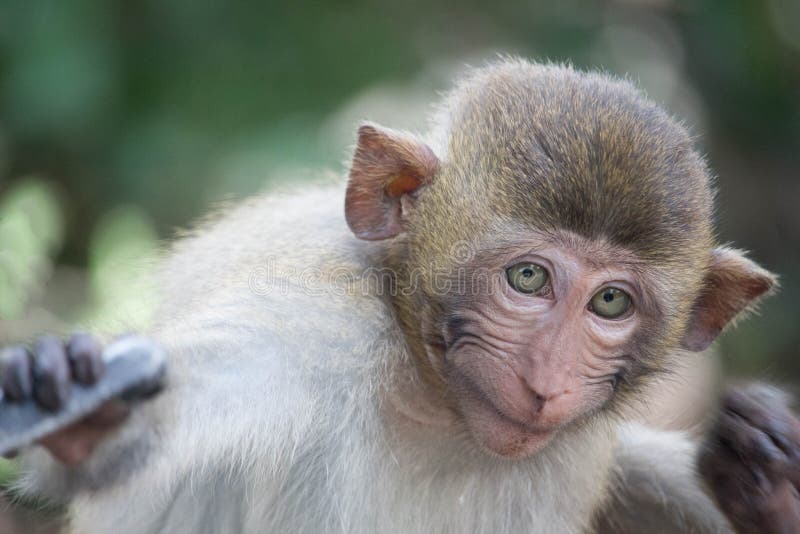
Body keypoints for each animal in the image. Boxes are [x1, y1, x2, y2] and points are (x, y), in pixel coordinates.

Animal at [1, 59, 800, 534]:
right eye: (528, 279)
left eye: (610, 304)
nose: (548, 380)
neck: (430, 395)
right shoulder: (319, 328)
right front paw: (87, 415)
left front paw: (772, 481)